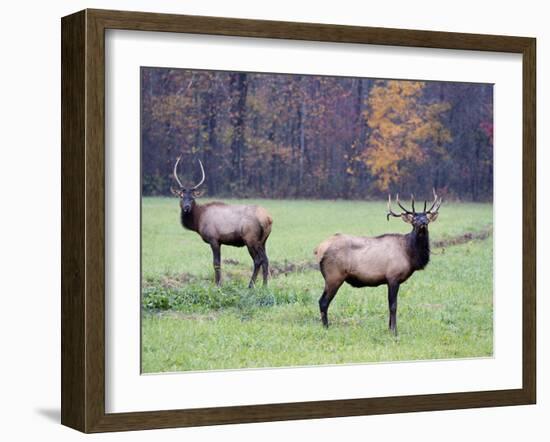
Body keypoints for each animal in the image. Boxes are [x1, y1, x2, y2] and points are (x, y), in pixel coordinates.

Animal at [170, 157, 274, 288]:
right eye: (181, 196)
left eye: (193, 197)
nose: (186, 208)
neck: (198, 220)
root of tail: (268, 218)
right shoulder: (219, 242)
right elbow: (218, 262)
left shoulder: (214, 239)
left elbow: (216, 263)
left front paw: (218, 285)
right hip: (263, 241)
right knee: (266, 260)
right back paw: (265, 285)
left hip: (251, 239)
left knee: (258, 260)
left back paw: (251, 285)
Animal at [314, 191, 444, 334]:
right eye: (414, 220)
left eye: (426, 217)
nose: (423, 223)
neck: (410, 254)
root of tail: (319, 249)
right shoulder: (393, 277)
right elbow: (393, 306)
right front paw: (394, 331)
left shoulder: (390, 280)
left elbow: (390, 305)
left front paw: (389, 328)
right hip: (334, 276)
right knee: (323, 302)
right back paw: (326, 327)